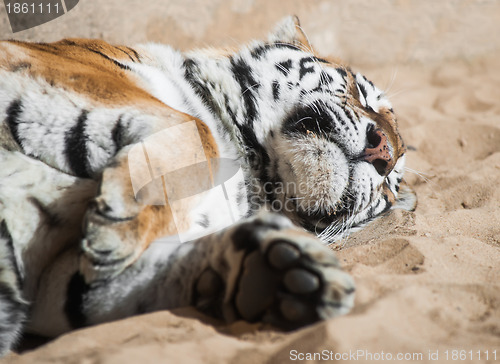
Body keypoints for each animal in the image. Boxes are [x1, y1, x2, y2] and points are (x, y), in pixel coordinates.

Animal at [0, 15, 416, 354]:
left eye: (388, 187)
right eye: (361, 93)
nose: (384, 153)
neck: (249, 175)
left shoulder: (54, 279)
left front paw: (280, 274)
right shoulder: (68, 70)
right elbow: (198, 130)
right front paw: (119, 229)